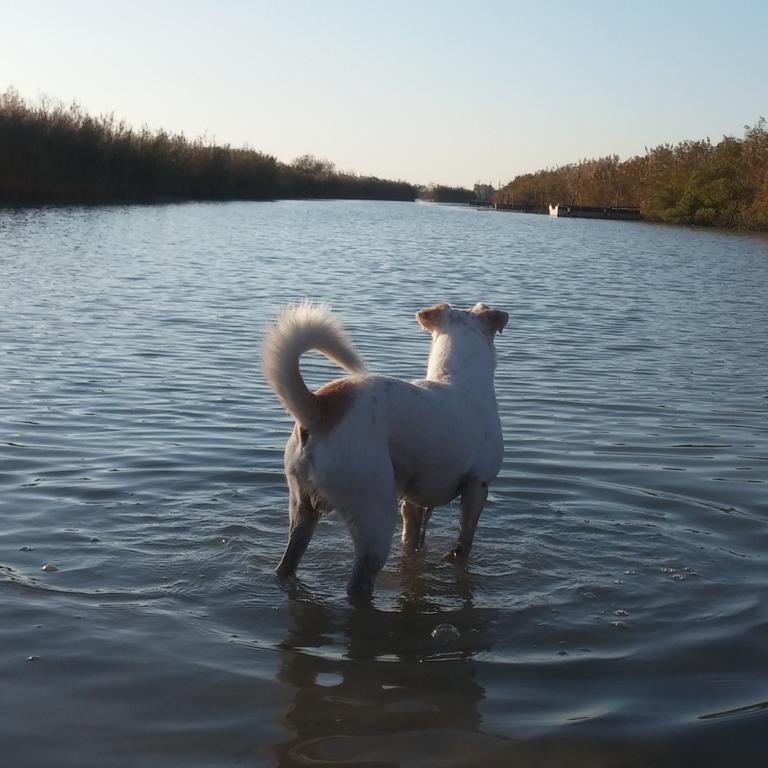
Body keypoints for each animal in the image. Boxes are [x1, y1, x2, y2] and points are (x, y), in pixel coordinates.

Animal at [260, 302, 508, 600]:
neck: (457, 378)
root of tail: (321, 408)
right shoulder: (477, 487)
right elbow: (464, 540)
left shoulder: (415, 500)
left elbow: (413, 539)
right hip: (374, 517)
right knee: (358, 584)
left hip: (302, 510)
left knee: (286, 563)